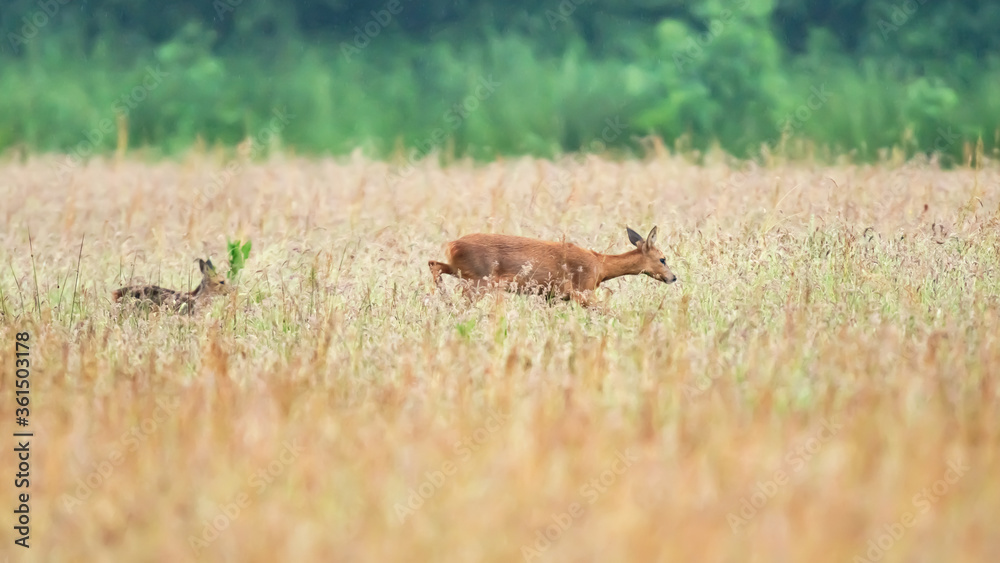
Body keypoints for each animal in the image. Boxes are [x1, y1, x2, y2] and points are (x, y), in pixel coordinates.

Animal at [426, 226, 676, 308]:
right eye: (663, 259)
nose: (673, 277)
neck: (600, 267)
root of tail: (452, 245)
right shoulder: (582, 291)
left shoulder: (553, 296)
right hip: (479, 280)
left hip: (464, 272)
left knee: (434, 263)